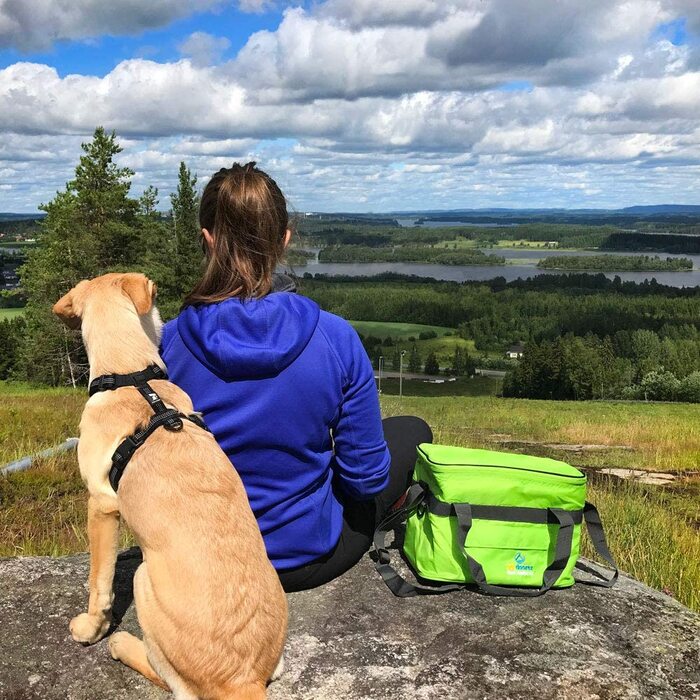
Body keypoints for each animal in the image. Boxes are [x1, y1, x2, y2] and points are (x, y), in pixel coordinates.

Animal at [51, 274, 288, 700]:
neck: (132, 376)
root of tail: (242, 679)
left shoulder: (101, 503)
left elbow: (99, 582)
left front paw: (91, 629)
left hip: (144, 581)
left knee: (171, 681)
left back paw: (122, 643)